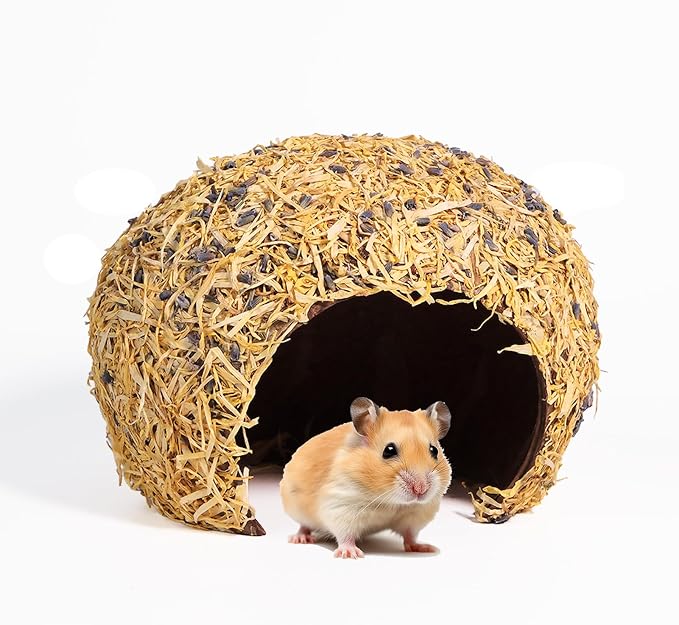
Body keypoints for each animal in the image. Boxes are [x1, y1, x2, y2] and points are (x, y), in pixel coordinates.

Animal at [279, 397, 452, 558]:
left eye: (434, 450)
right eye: (389, 450)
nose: (420, 489)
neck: (391, 502)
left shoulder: (416, 514)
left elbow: (410, 535)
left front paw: (425, 548)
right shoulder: (341, 505)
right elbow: (345, 535)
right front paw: (351, 554)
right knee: (303, 526)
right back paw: (300, 538)